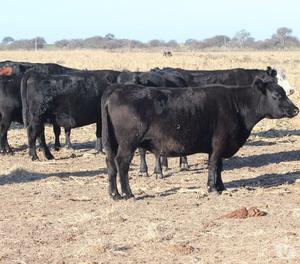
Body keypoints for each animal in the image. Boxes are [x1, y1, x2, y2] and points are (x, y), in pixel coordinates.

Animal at [102, 78, 298, 200]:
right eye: (277, 95)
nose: (296, 110)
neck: (236, 105)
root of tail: (116, 90)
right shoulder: (219, 144)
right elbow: (214, 166)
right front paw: (213, 188)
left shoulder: (216, 147)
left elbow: (219, 167)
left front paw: (220, 186)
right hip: (128, 143)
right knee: (122, 164)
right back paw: (128, 194)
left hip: (111, 143)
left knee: (111, 164)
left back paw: (114, 194)